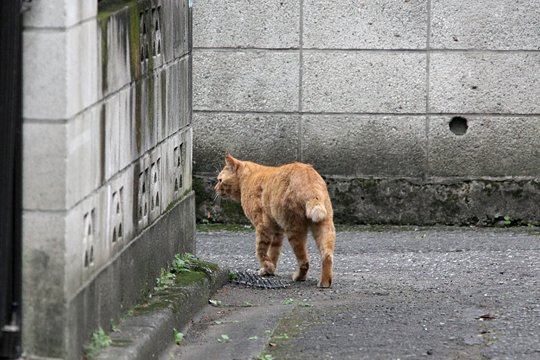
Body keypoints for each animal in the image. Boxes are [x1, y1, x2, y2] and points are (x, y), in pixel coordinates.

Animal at [214, 155, 334, 286]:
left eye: (220, 180)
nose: (215, 188)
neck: (248, 178)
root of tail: (308, 177)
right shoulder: (277, 229)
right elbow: (274, 251)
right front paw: (269, 270)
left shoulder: (263, 225)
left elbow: (260, 251)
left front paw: (268, 267)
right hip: (324, 226)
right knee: (327, 255)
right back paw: (325, 282)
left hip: (294, 229)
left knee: (304, 262)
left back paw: (299, 277)